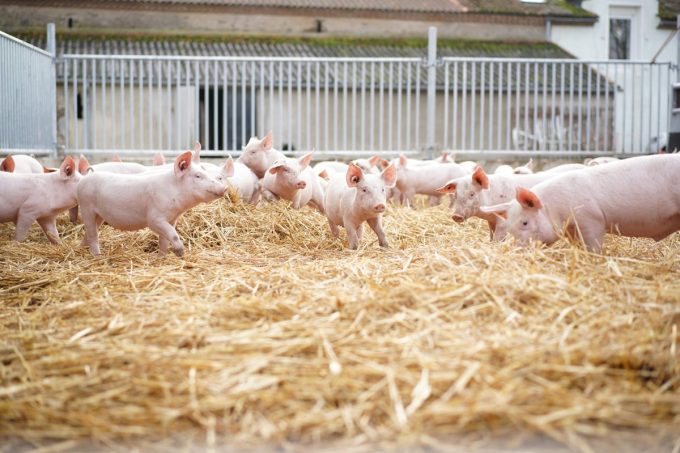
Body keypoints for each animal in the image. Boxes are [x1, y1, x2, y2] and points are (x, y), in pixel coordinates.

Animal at [77, 151, 229, 256]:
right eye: (198, 176)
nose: (225, 188)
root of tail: (83, 180)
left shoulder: (172, 219)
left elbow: (164, 239)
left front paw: (162, 257)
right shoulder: (155, 218)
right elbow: (172, 233)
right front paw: (180, 252)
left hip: (99, 215)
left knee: (89, 232)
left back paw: (82, 249)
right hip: (86, 207)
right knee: (93, 234)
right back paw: (97, 256)